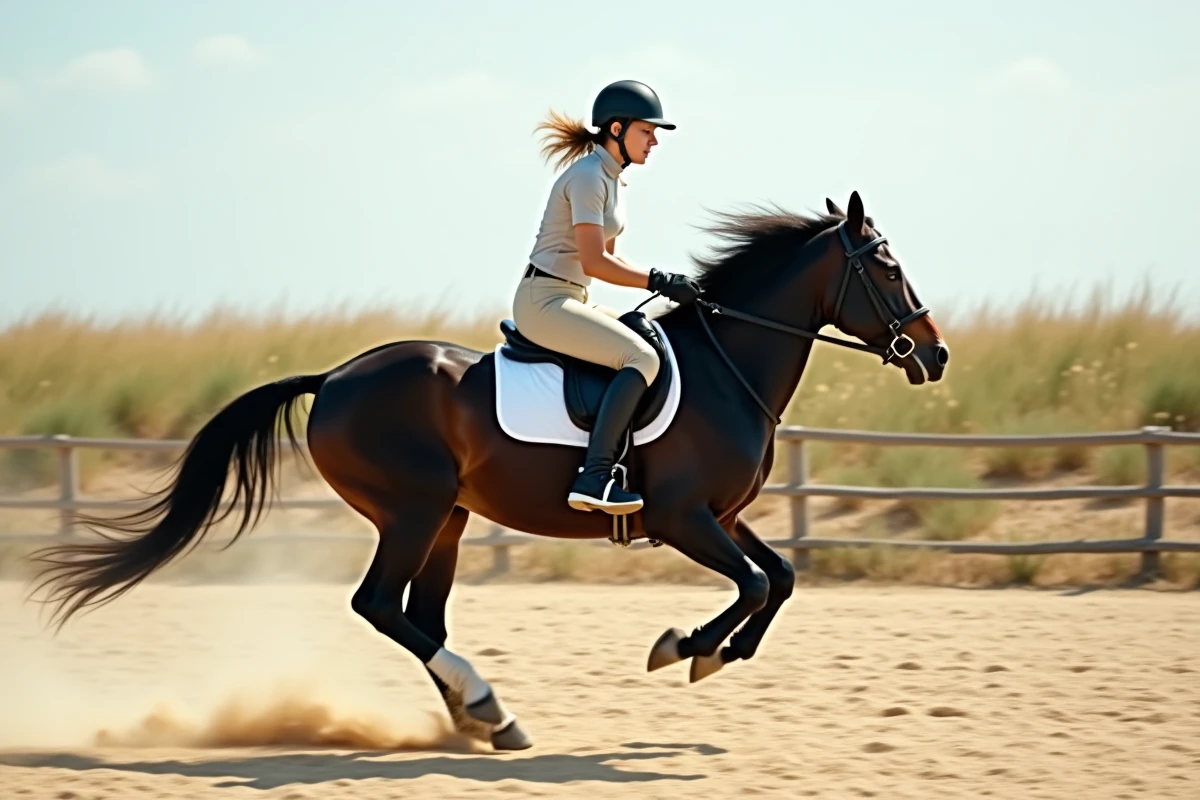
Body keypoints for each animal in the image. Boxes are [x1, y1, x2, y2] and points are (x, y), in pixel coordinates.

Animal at [28, 191, 948, 751]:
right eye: (889, 267)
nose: (933, 355)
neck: (728, 366)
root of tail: (335, 378)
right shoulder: (684, 518)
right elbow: (755, 584)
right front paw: (687, 647)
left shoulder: (722, 515)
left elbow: (781, 576)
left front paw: (715, 652)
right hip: (413, 509)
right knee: (380, 607)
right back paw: (484, 707)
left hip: (450, 518)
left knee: (420, 619)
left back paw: (483, 719)